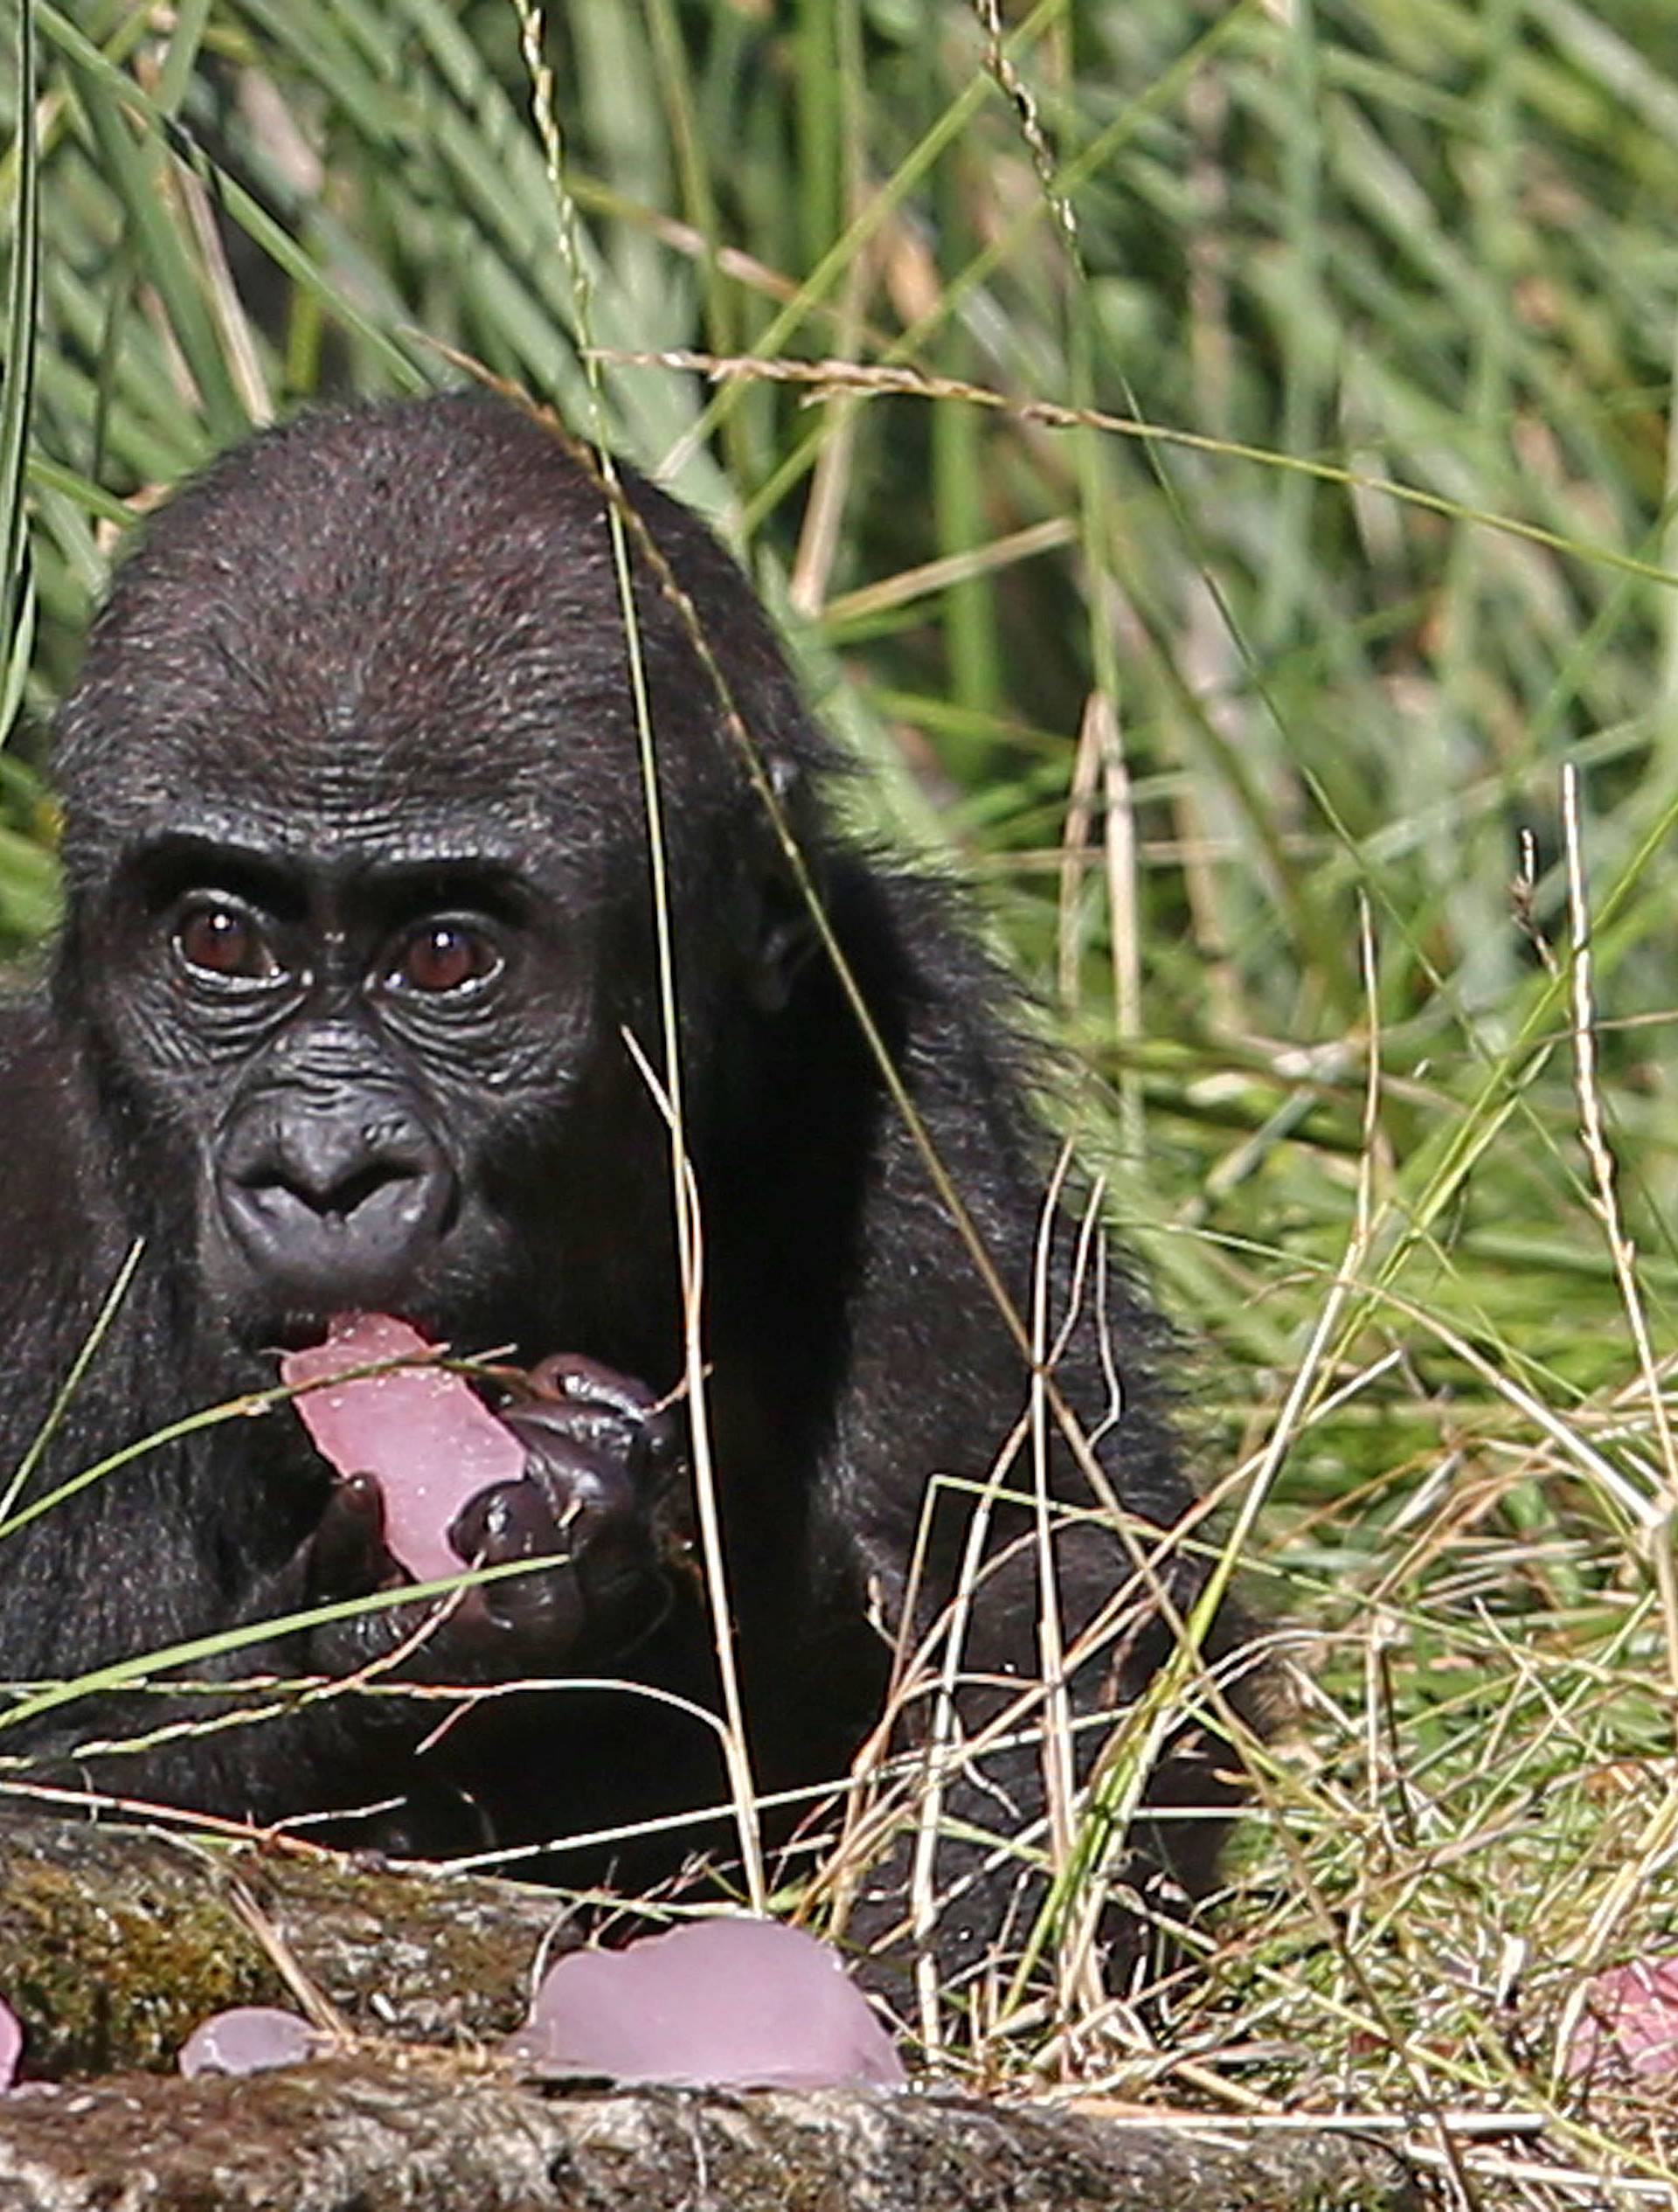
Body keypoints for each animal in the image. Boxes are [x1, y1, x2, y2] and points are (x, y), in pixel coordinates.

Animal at [0, 393, 1255, 1990]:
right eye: (222, 940)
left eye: (448, 958)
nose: (325, 1171)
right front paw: (359, 1646)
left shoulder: (900, 1054)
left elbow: (1052, 1587)